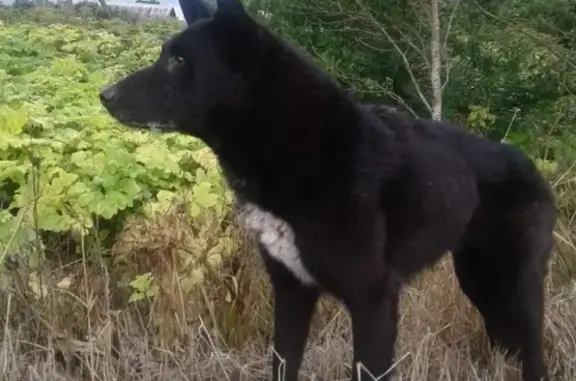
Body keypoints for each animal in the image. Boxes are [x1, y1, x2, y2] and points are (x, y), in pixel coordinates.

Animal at [100, 0, 560, 380]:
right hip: (480, 283)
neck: (295, 145)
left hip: (515, 287)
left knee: (534, 356)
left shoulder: (373, 301)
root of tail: (528, 163)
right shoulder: (291, 292)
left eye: (178, 61)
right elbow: (282, 365)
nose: (105, 95)